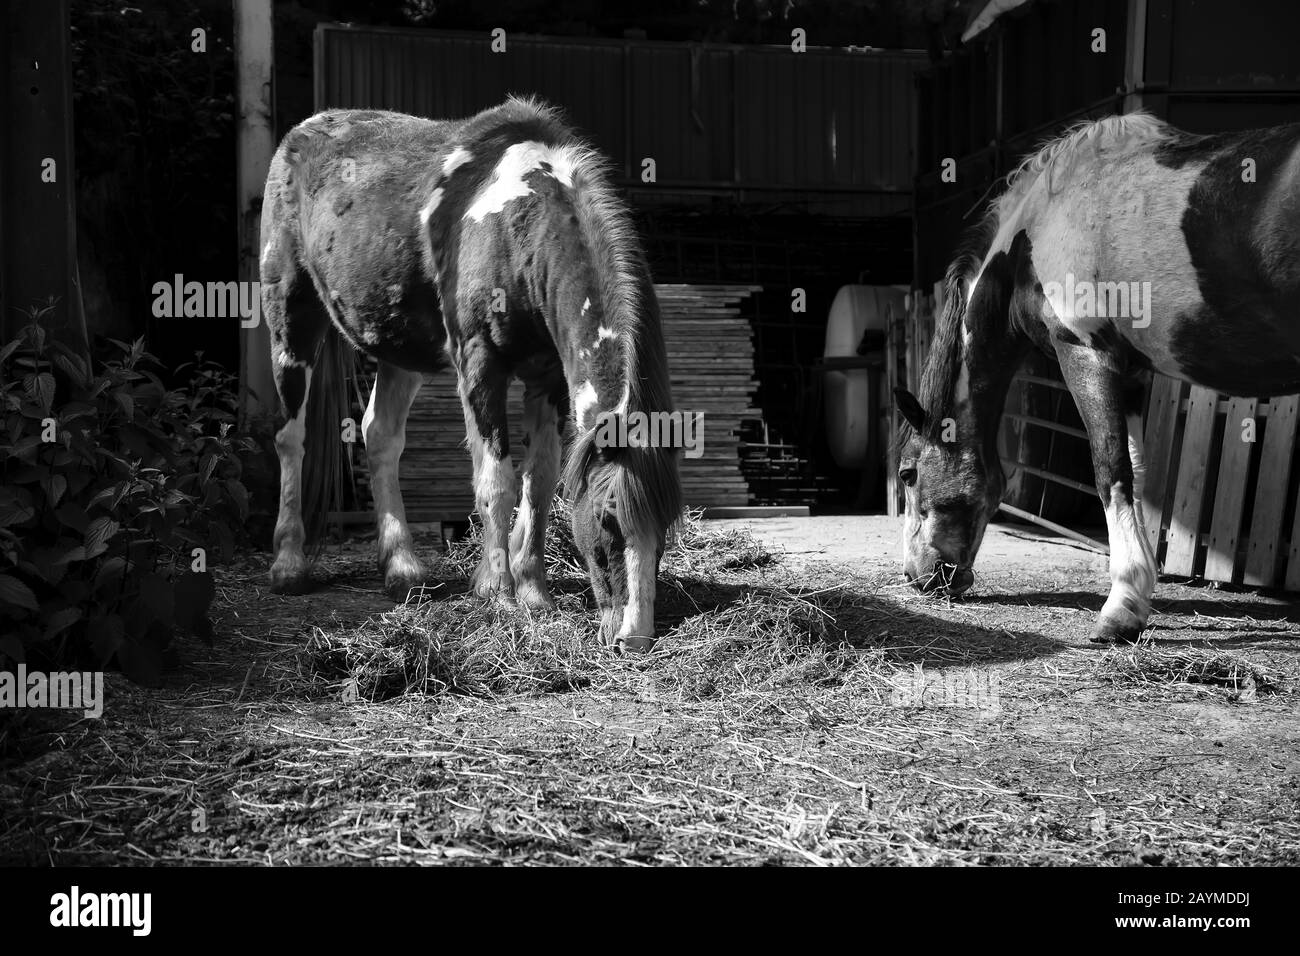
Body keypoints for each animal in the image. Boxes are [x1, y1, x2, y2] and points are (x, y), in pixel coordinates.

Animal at [259, 97, 683, 652]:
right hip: (291, 320)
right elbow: (496, 482)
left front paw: (534, 592)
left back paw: (402, 569)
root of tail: (301, 133)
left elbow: (540, 481)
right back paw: (288, 564)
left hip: (399, 349)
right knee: (291, 437)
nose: (634, 638)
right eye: (608, 518)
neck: (514, 225)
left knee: (379, 435)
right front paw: (498, 593)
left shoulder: (547, 378)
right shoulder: (480, 364)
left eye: (666, 526)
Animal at [894, 112, 1300, 643]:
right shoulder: (1132, 373)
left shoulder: (1085, 352)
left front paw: (1121, 608)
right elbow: (1137, 471)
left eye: (907, 473)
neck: (1033, 234)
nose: (916, 577)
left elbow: (1111, 469)